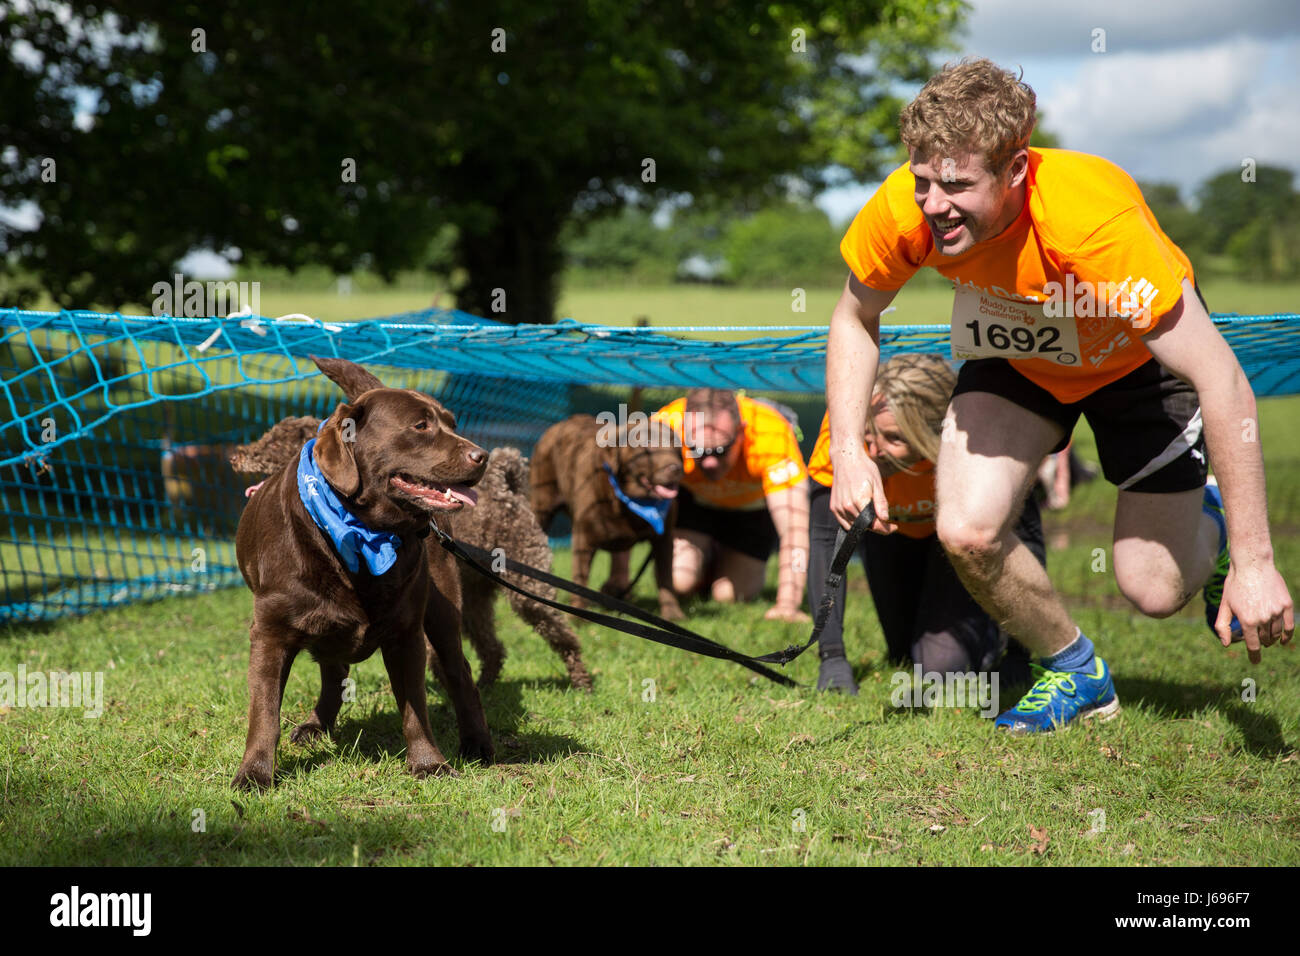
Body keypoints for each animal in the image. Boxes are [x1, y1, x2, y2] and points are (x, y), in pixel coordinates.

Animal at [231, 395, 592, 686]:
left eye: (273, 444)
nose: (236, 456)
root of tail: (507, 490)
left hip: (528, 588)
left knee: (561, 634)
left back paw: (581, 681)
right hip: (475, 596)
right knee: (491, 646)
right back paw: (485, 684)